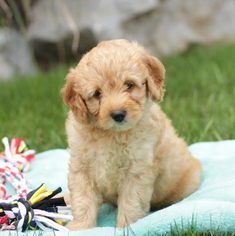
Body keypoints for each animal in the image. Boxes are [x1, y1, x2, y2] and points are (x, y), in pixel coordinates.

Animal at [61, 38, 202, 230]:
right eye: (97, 93)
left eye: (129, 85)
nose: (118, 114)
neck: (110, 134)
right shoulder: (81, 168)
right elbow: (82, 201)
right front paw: (80, 228)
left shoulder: (137, 171)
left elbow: (130, 203)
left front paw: (126, 228)